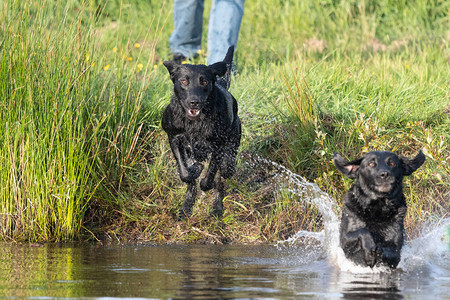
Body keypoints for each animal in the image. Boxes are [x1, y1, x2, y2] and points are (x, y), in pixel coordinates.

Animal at [161, 47, 241, 220]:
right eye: (184, 81)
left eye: (204, 81)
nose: (194, 102)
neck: (194, 123)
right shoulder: (173, 137)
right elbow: (185, 172)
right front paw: (195, 169)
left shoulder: (218, 144)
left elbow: (211, 173)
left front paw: (205, 181)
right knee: (192, 185)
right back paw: (186, 208)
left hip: (234, 135)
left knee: (223, 175)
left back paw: (217, 208)